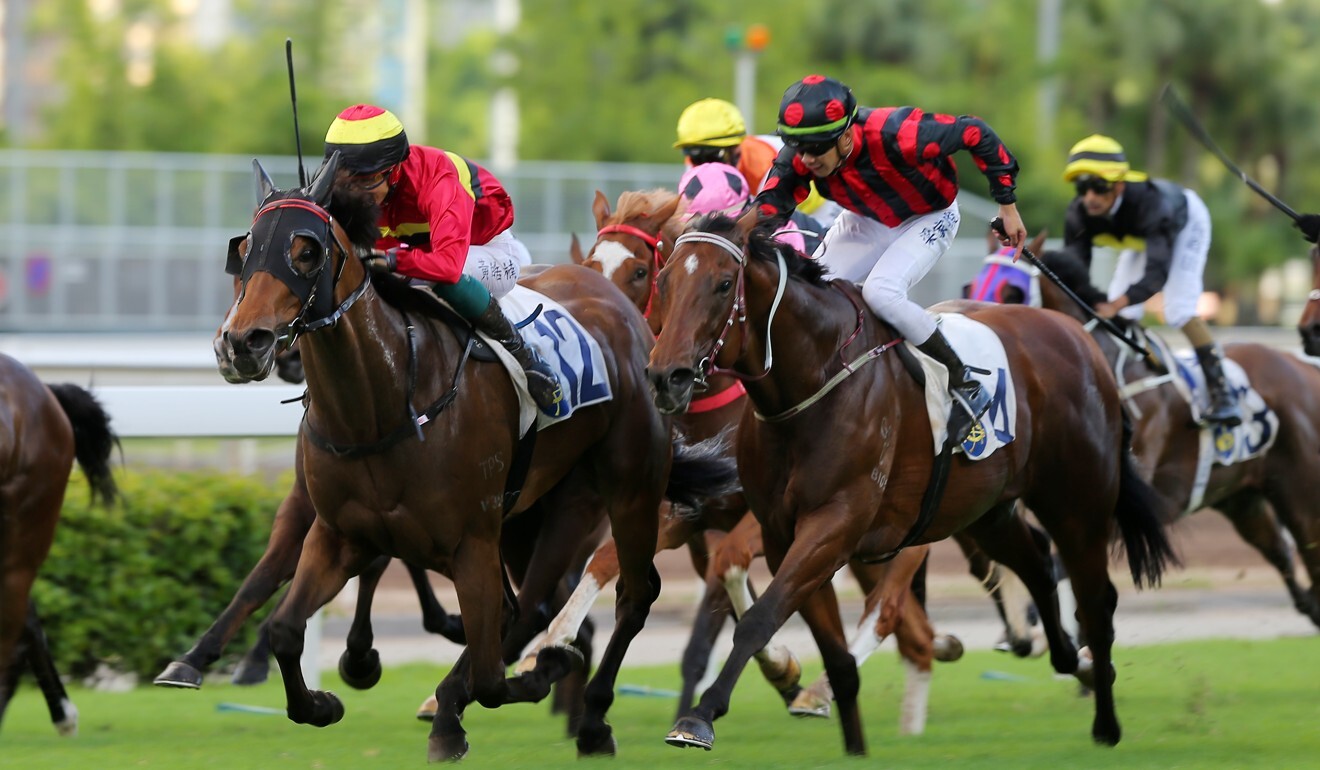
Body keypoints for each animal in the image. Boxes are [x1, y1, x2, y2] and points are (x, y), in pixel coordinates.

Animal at [213, 153, 733, 760]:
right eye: (246, 248)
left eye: (306, 250)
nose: (241, 342)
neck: (383, 404)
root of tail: (617, 305)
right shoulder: (341, 533)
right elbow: (284, 630)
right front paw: (324, 700)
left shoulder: (471, 541)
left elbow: (490, 673)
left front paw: (501, 688)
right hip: (542, 512)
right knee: (533, 605)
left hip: (627, 489)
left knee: (629, 592)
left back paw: (589, 718)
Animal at [649, 210, 1177, 755]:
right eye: (663, 281)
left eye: (723, 284)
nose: (667, 376)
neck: (812, 384)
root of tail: (1082, 341)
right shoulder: (781, 535)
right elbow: (836, 660)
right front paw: (848, 741)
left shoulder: (834, 526)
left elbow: (759, 617)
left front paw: (700, 716)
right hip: (988, 512)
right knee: (1036, 565)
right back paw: (1073, 662)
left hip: (1078, 506)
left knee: (1096, 600)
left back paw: (1105, 720)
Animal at [992, 246, 1320, 626]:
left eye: (1012, 292)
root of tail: (1304, 367)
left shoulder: (1120, 506)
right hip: (1243, 500)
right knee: (1284, 555)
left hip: (1300, 496)